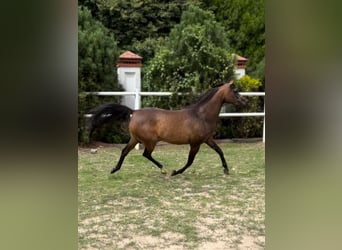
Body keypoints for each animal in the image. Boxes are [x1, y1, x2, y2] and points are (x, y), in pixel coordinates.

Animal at [89, 81, 248, 176]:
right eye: (235, 91)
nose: (245, 100)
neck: (201, 115)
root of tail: (134, 112)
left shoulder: (207, 139)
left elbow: (219, 151)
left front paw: (226, 170)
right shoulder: (195, 143)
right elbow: (190, 161)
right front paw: (175, 172)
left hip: (134, 139)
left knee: (125, 151)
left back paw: (114, 169)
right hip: (150, 141)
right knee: (146, 154)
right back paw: (163, 169)